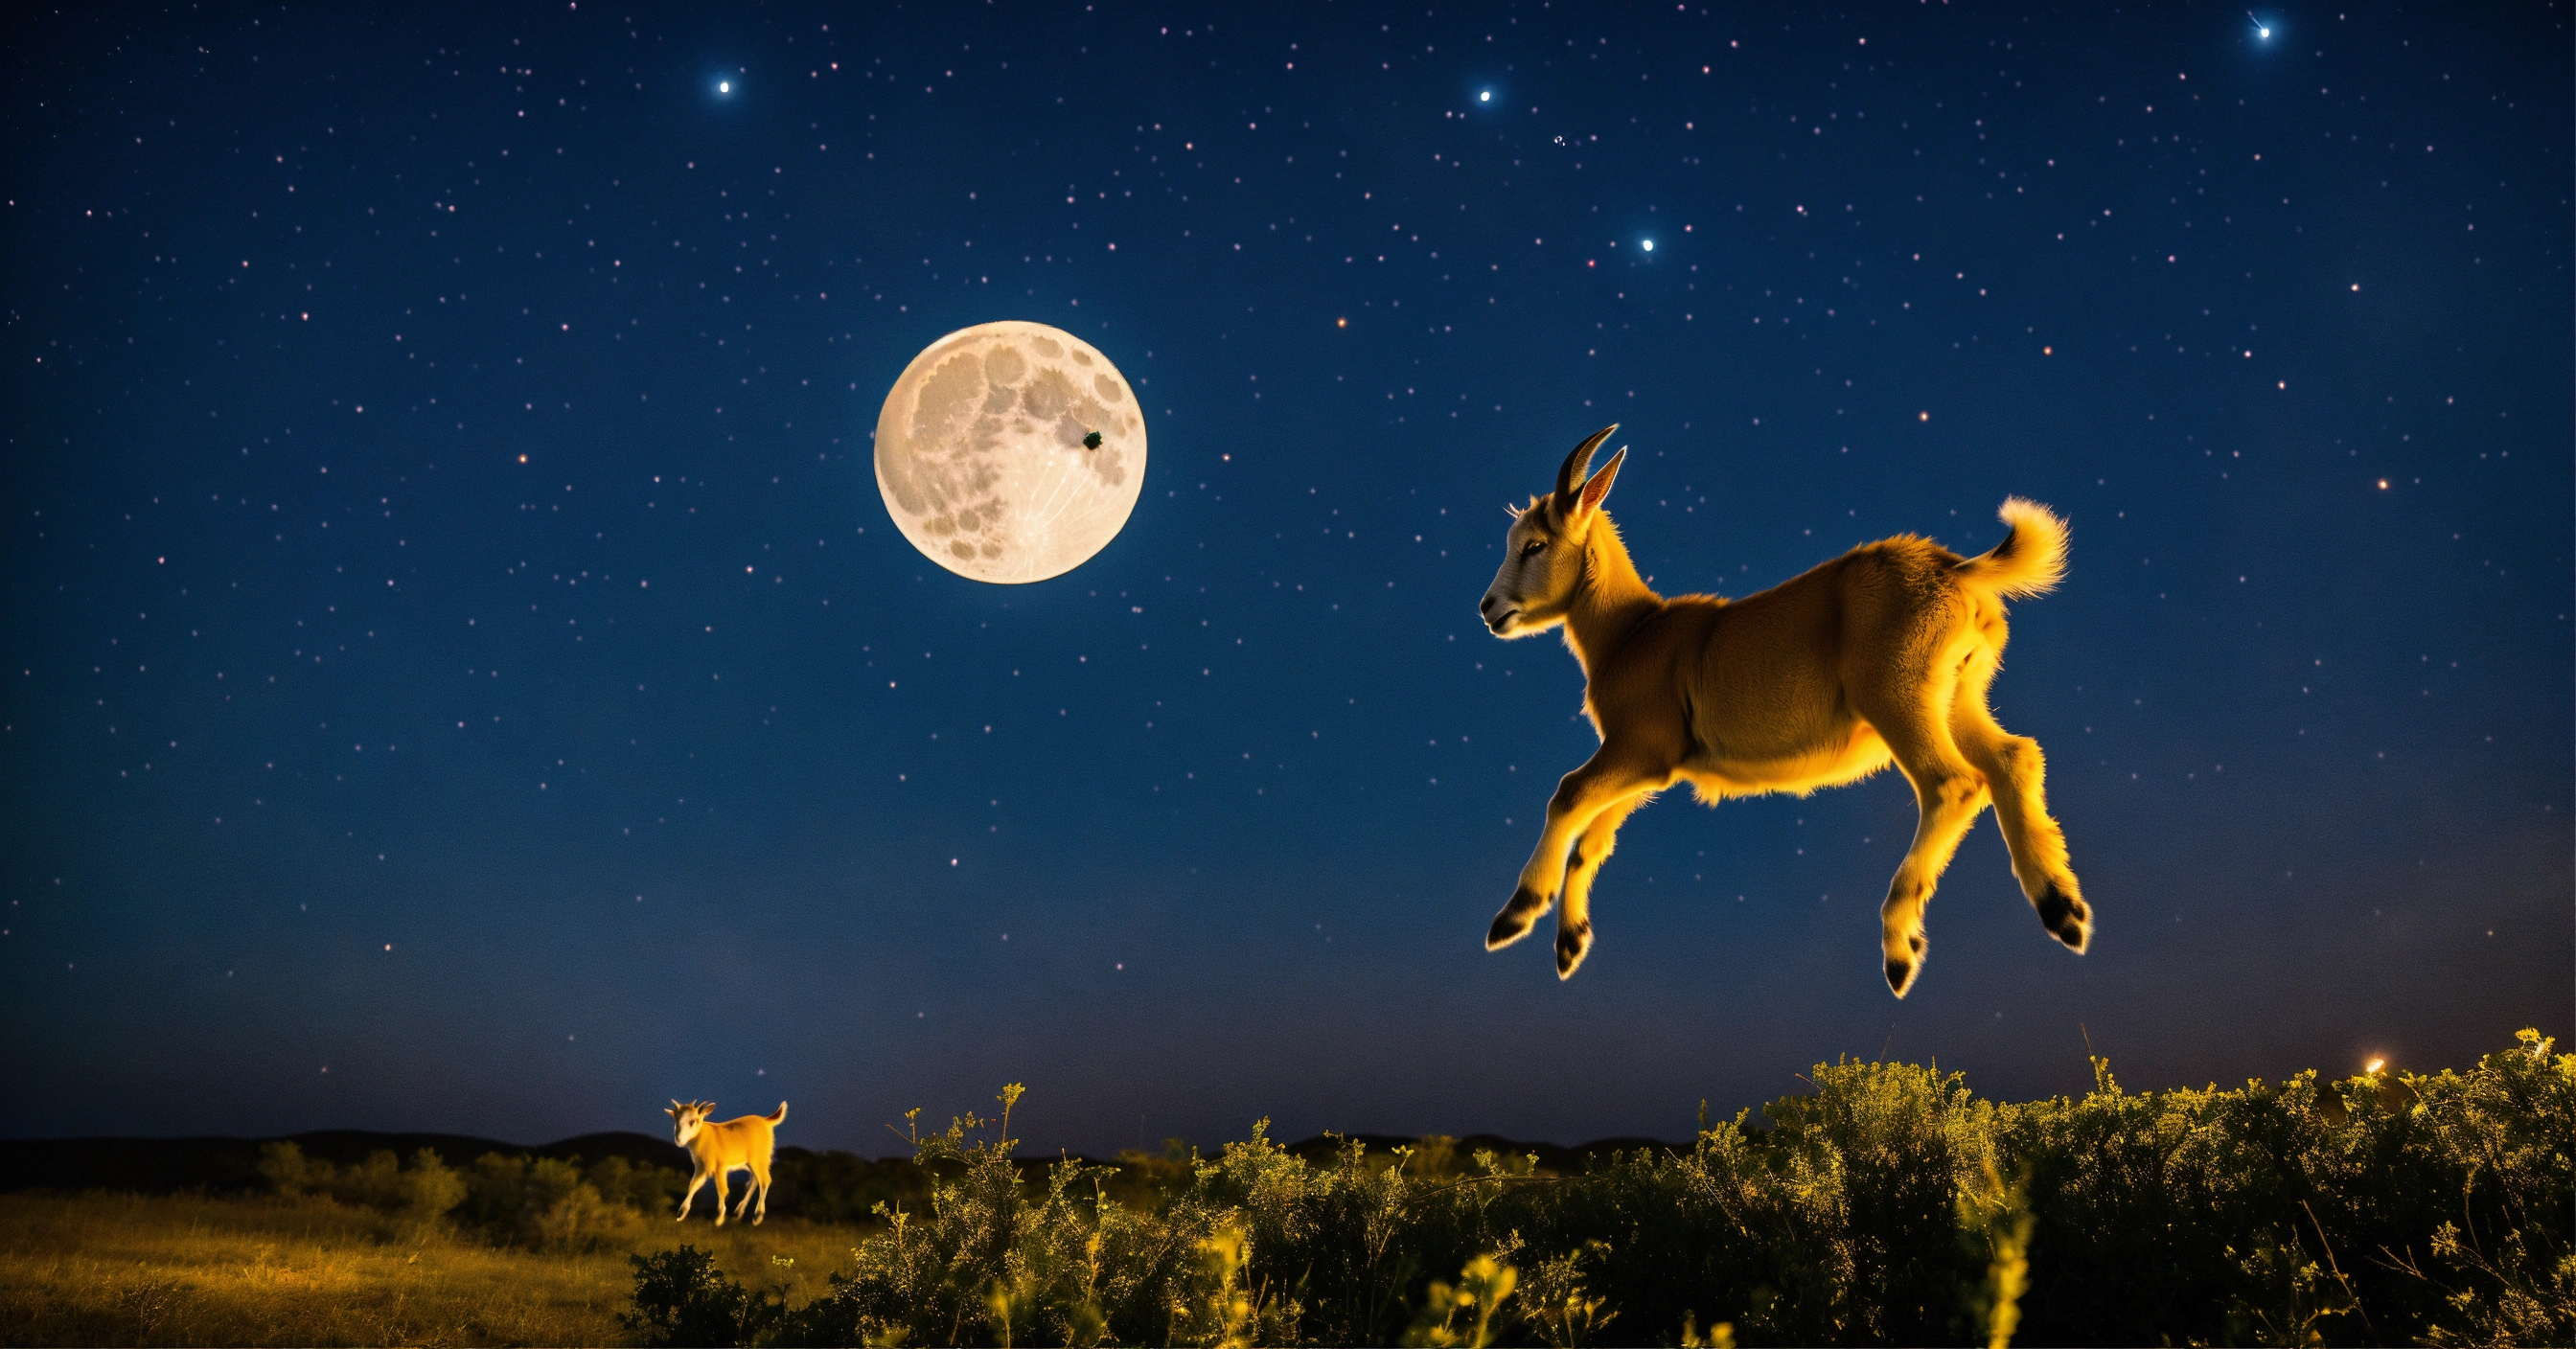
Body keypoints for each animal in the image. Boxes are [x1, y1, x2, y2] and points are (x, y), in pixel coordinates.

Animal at [666, 1099, 787, 1226]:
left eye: (692, 1121)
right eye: (676, 1120)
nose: (679, 1140)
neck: (704, 1136)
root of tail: (766, 1120)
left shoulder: (720, 1166)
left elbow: (722, 1190)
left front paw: (719, 1219)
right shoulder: (702, 1167)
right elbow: (693, 1185)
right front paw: (681, 1214)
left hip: (759, 1158)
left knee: (765, 1180)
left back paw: (757, 1216)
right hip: (748, 1163)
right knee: (754, 1180)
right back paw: (738, 1212)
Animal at [1477, 425, 2091, 996]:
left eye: (1534, 544)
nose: (1489, 608)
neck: (1632, 632)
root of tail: (1955, 570)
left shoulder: (1638, 745)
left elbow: (1569, 795)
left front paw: (1515, 917)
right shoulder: (1651, 766)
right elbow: (1593, 838)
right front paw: (1570, 945)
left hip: (1898, 697)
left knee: (1953, 784)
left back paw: (1901, 949)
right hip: (1957, 698)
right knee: (2013, 759)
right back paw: (2063, 911)